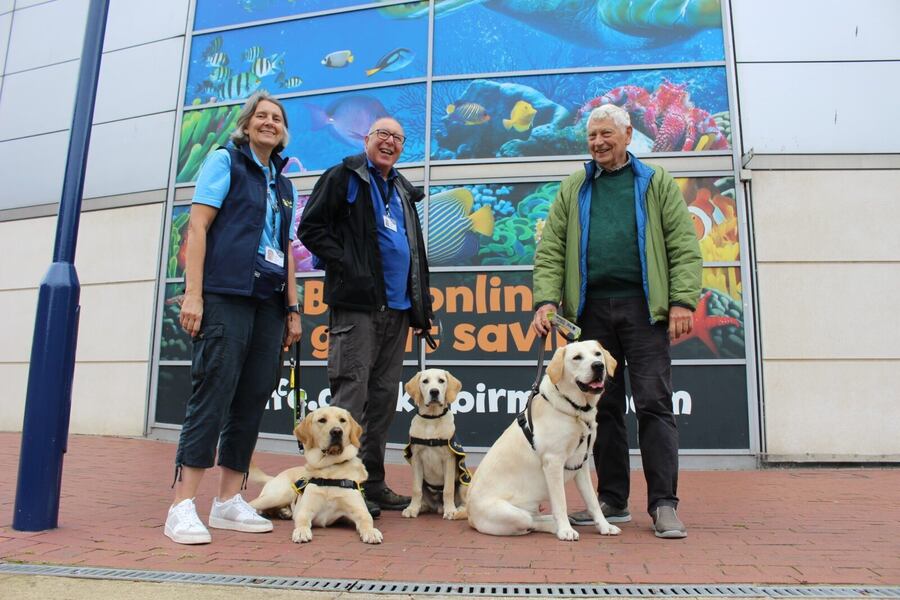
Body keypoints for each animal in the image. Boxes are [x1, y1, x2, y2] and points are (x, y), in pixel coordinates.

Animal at [246, 406, 384, 548]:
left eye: (342, 420)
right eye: (322, 420)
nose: (337, 431)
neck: (330, 468)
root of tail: (274, 477)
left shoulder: (359, 511)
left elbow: (367, 520)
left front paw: (371, 532)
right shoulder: (305, 510)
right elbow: (302, 521)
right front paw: (301, 532)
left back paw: (284, 512)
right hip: (281, 494)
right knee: (252, 504)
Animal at [402, 368, 472, 516]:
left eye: (441, 380)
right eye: (425, 381)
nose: (434, 391)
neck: (431, 419)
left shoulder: (449, 460)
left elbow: (448, 489)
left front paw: (450, 510)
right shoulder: (416, 459)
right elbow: (416, 490)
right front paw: (412, 509)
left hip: (465, 481)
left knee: (465, 504)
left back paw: (457, 510)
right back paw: (422, 507)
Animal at [468, 340, 624, 540]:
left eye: (597, 354)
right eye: (577, 357)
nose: (598, 366)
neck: (577, 410)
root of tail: (469, 515)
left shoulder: (581, 463)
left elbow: (593, 502)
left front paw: (605, 526)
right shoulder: (554, 462)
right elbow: (561, 502)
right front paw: (565, 530)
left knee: (536, 518)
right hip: (512, 514)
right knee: (531, 522)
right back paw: (556, 526)